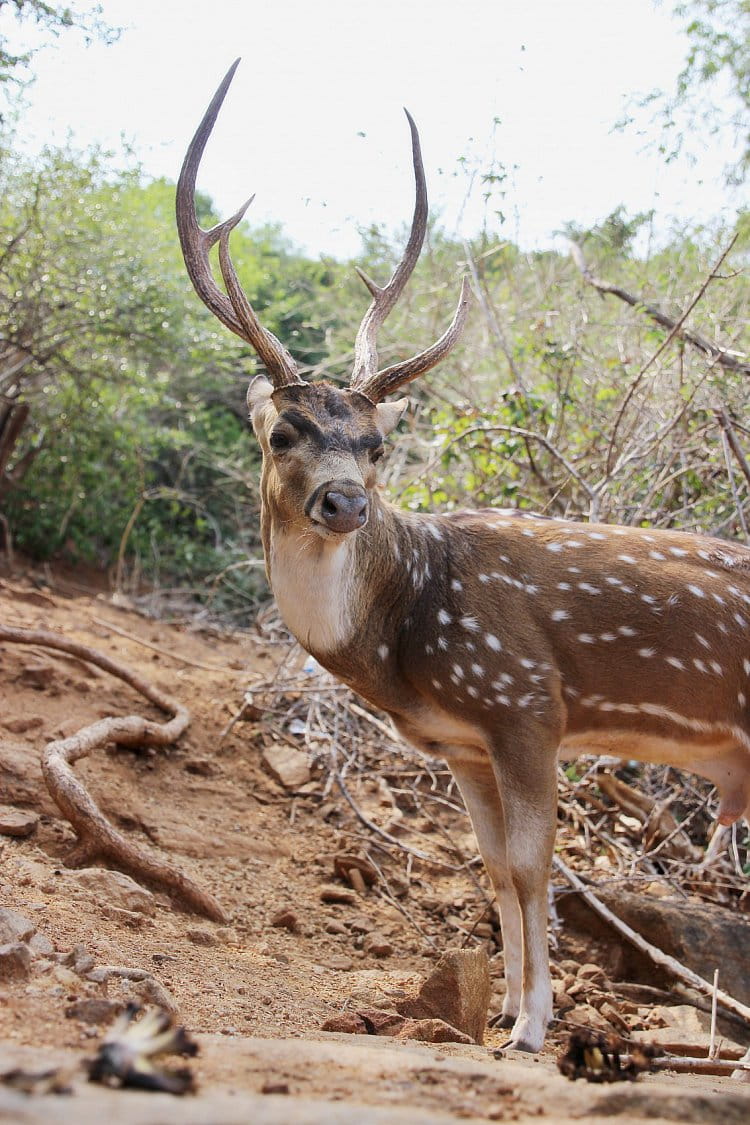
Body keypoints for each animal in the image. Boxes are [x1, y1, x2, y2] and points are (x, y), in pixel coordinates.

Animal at [177, 57, 750, 1048]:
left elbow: (532, 868)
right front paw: (505, 1012)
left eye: (377, 442)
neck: (403, 634)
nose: (345, 501)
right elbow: (492, 868)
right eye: (284, 431)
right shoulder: (463, 742)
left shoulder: (525, 701)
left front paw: (531, 1030)